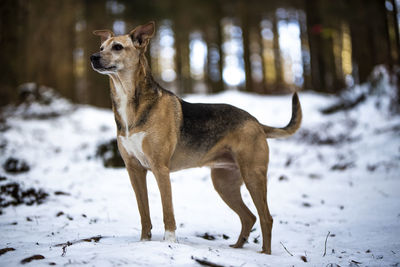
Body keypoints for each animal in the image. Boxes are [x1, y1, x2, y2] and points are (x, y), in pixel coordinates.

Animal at [90, 21, 302, 255]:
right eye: (101, 48)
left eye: (117, 47)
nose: (93, 57)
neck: (131, 102)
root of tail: (255, 121)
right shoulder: (134, 169)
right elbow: (144, 212)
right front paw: (144, 242)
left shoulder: (160, 169)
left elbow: (168, 213)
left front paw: (169, 243)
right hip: (224, 183)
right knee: (249, 217)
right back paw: (238, 247)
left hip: (253, 175)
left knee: (266, 217)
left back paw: (265, 254)